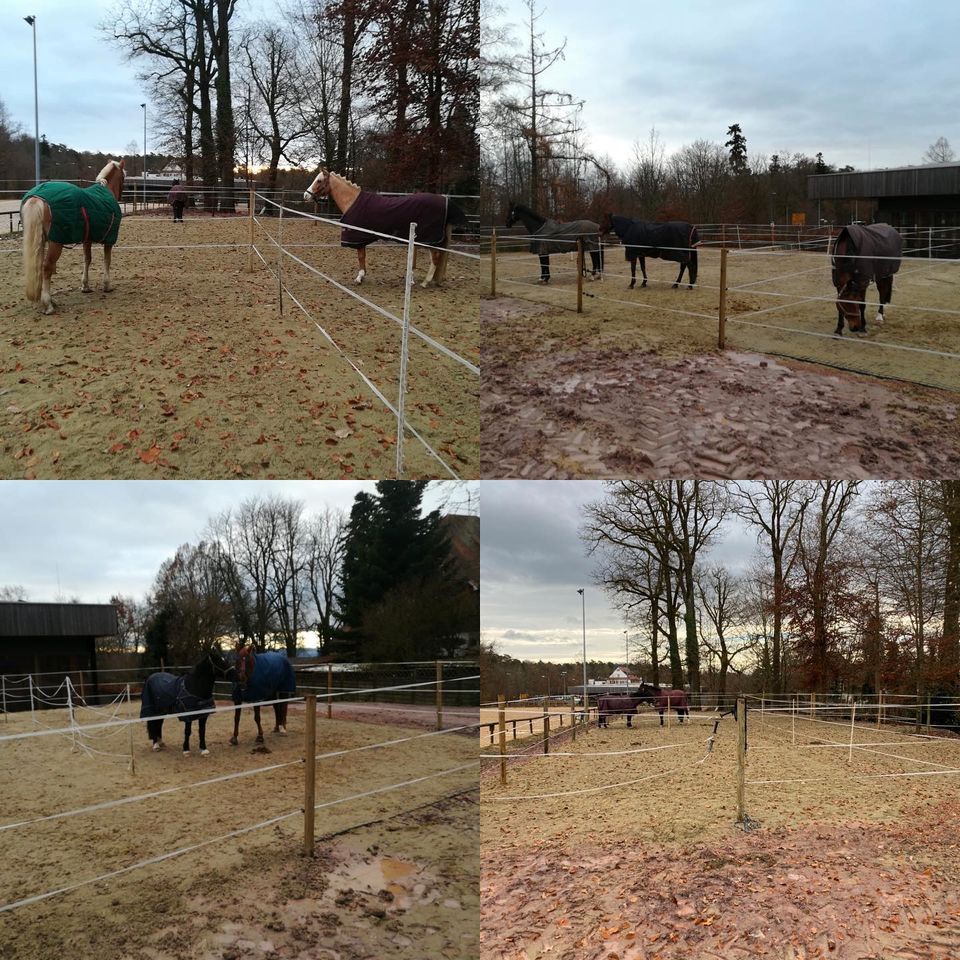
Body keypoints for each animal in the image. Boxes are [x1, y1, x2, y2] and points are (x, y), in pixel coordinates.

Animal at [20, 159, 124, 314]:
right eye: (123, 177)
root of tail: (37, 198)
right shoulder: (109, 240)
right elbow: (107, 261)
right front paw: (107, 285)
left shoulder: (87, 239)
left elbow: (87, 259)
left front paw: (85, 286)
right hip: (55, 242)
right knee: (47, 267)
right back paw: (48, 304)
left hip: (40, 241)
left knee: (38, 266)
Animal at [300, 168, 464, 284]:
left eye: (319, 180)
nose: (305, 195)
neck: (352, 201)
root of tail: (445, 200)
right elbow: (363, 256)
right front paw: (362, 276)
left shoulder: (358, 237)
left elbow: (361, 257)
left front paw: (359, 277)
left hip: (428, 239)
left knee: (435, 258)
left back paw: (425, 281)